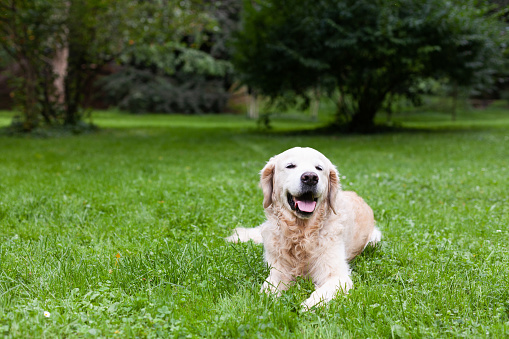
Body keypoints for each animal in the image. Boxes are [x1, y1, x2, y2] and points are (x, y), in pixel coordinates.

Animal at [226, 147, 380, 310]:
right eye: (290, 166)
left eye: (319, 168)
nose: (310, 177)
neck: (301, 232)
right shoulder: (278, 272)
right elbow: (266, 291)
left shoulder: (338, 277)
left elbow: (321, 294)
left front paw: (307, 306)